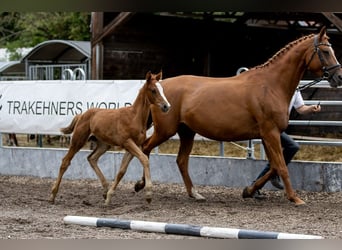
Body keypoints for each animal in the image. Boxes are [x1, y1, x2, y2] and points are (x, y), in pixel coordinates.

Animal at [48, 71, 171, 205]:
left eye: (162, 89)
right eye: (153, 90)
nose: (166, 106)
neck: (134, 117)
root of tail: (81, 115)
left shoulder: (134, 146)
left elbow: (121, 171)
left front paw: (109, 197)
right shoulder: (127, 142)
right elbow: (144, 159)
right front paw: (148, 194)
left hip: (104, 144)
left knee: (92, 158)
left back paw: (105, 190)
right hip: (78, 140)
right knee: (65, 161)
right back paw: (52, 195)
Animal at [135, 26, 340, 205]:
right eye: (325, 51)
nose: (338, 77)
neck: (271, 85)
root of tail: (158, 88)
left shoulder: (266, 135)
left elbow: (274, 166)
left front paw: (249, 191)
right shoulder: (271, 133)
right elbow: (281, 166)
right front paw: (295, 198)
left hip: (186, 132)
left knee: (181, 160)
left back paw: (194, 193)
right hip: (166, 130)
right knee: (145, 148)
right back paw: (141, 185)